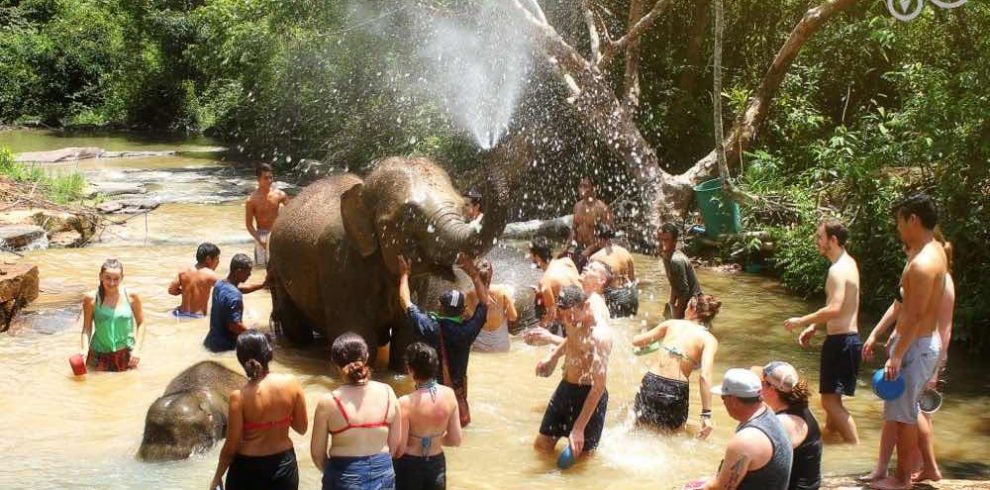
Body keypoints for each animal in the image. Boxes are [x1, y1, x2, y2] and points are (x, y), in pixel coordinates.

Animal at [268, 156, 508, 368]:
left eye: (463, 208)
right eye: (410, 216)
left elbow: (406, 339)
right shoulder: (338, 263)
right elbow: (359, 334)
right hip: (278, 268)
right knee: (296, 328)